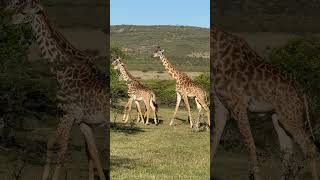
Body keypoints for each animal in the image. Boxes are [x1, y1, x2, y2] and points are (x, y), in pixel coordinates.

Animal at [4, 0, 109, 179]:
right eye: (17, 7)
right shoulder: (81, 120)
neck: (62, 71)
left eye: (24, 12)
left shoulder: (69, 113)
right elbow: (91, 152)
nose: (9, 20)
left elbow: (62, 147)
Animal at [211, 26, 318, 179]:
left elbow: (250, 144)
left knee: (308, 146)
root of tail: (302, 90)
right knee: (287, 147)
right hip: (278, 116)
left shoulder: (237, 105)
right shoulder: (222, 106)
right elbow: (214, 141)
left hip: (290, 115)